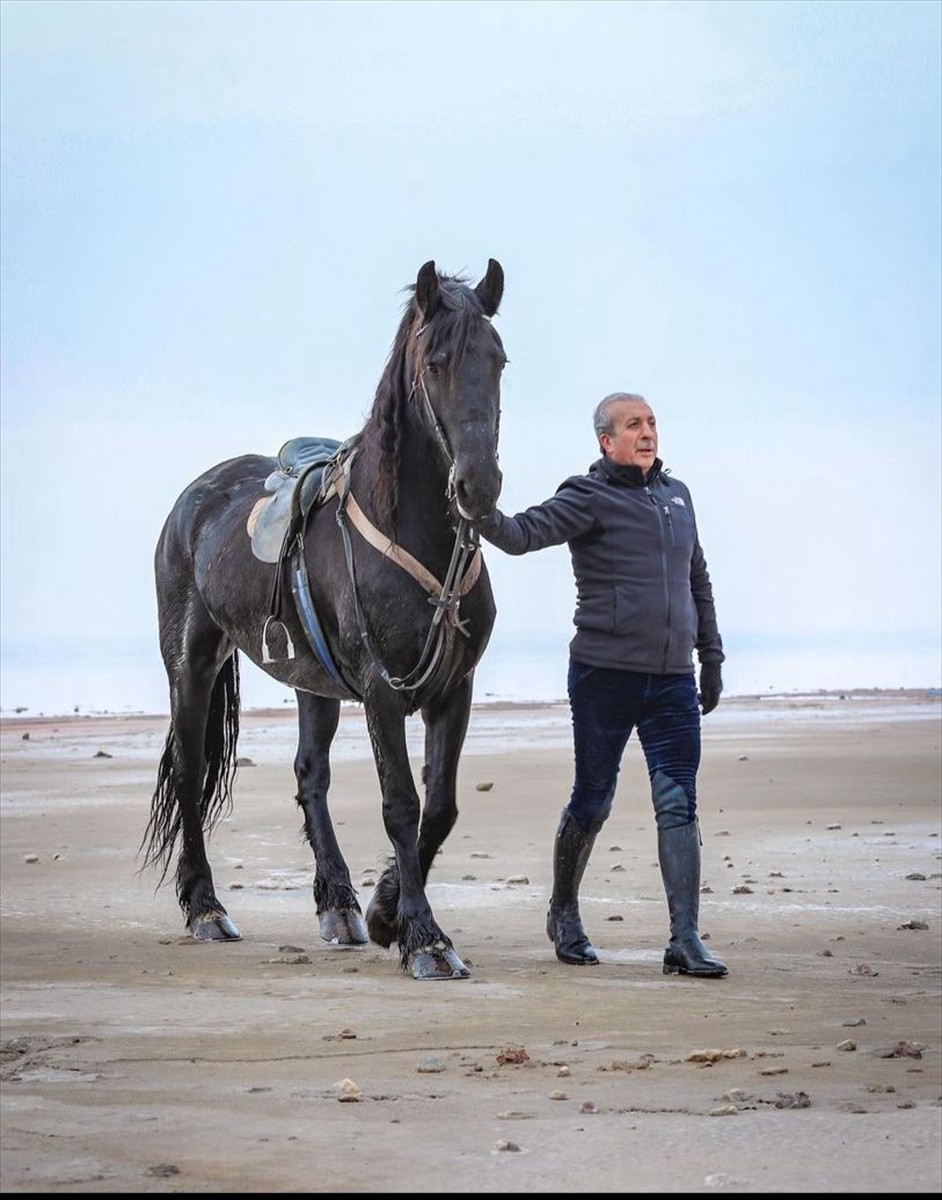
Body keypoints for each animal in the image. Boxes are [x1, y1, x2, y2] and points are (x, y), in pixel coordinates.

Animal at [138, 258, 504, 979]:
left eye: (498, 360)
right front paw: (425, 938)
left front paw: (387, 913)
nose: (479, 487)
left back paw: (337, 904)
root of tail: (193, 499)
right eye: (437, 363)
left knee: (312, 777)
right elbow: (401, 805)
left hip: (315, 683)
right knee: (192, 773)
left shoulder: (455, 690)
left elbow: (440, 808)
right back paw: (206, 908)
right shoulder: (382, 693)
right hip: (191, 661)